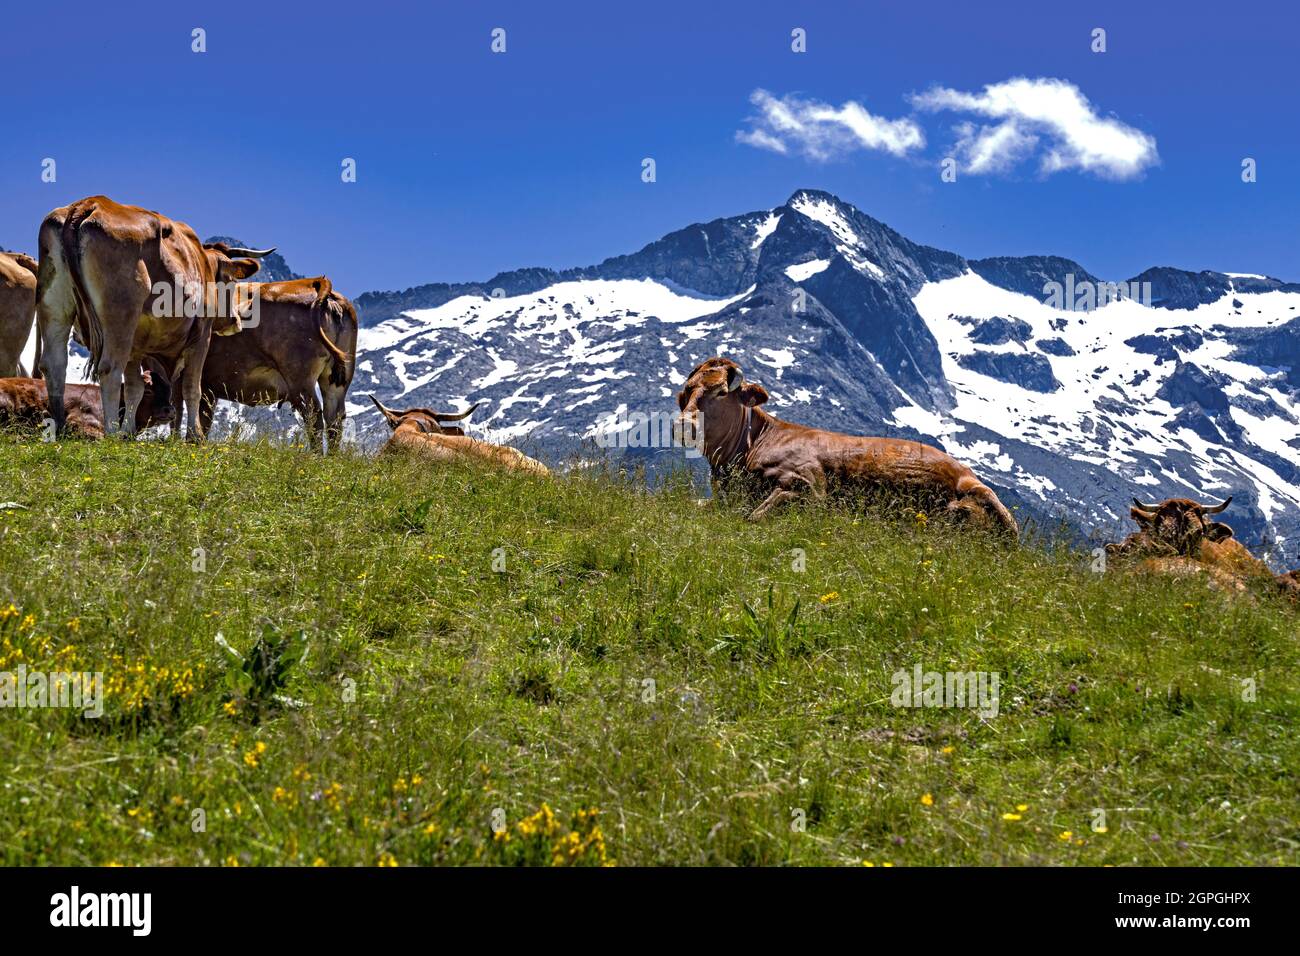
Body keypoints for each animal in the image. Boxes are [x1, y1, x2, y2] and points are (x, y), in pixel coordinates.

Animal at [33, 199, 271, 444]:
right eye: (232, 281)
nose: (236, 321)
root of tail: (90, 203)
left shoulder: (136, 346)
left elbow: (134, 388)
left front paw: (128, 432)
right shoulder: (201, 336)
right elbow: (191, 388)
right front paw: (194, 437)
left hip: (54, 303)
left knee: (53, 364)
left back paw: (59, 428)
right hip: (120, 314)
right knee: (109, 369)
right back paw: (111, 433)